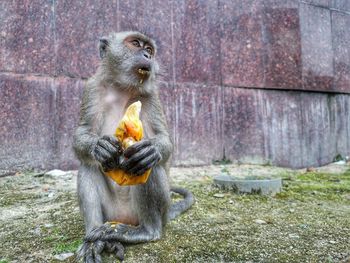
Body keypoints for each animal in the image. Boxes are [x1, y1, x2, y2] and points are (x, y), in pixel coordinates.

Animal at [73, 31, 196, 263]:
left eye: (149, 49)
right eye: (136, 44)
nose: (147, 55)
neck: (122, 89)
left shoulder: (151, 95)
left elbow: (163, 140)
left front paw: (152, 150)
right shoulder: (92, 88)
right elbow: (82, 134)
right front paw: (100, 146)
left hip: (153, 211)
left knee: (146, 165)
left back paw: (147, 231)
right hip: (111, 213)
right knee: (88, 165)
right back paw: (95, 238)